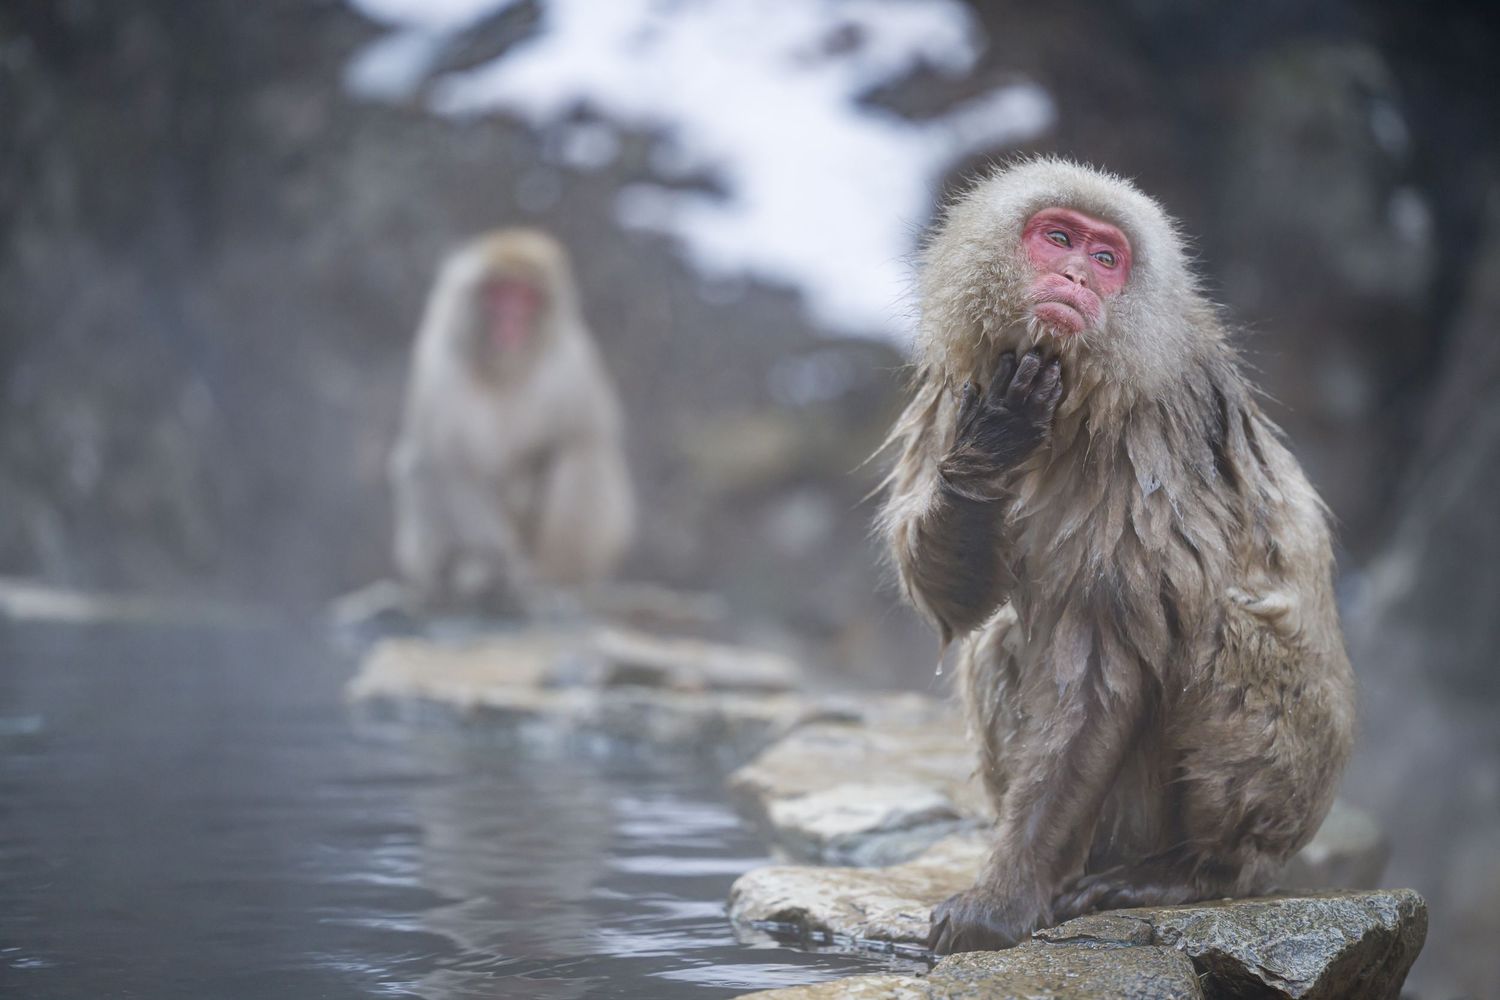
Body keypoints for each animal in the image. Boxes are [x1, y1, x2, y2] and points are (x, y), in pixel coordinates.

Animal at [389, 228, 635, 611]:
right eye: (499, 292)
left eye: (525, 296)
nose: (510, 319)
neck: (506, 369)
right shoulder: (441, 364)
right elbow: (451, 463)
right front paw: (492, 571)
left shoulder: (573, 365)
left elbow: (586, 437)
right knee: (423, 464)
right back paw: (472, 576)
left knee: (584, 455)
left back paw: (553, 579)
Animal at [878, 159, 1355, 955]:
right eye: (1059, 238)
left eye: (1106, 259)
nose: (1074, 276)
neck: (1075, 403)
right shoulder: (958, 387)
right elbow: (950, 598)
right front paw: (994, 443)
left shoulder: (1154, 441)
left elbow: (1102, 666)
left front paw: (1000, 901)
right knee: (998, 638)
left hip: (1277, 795)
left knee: (1225, 632)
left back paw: (1197, 870)